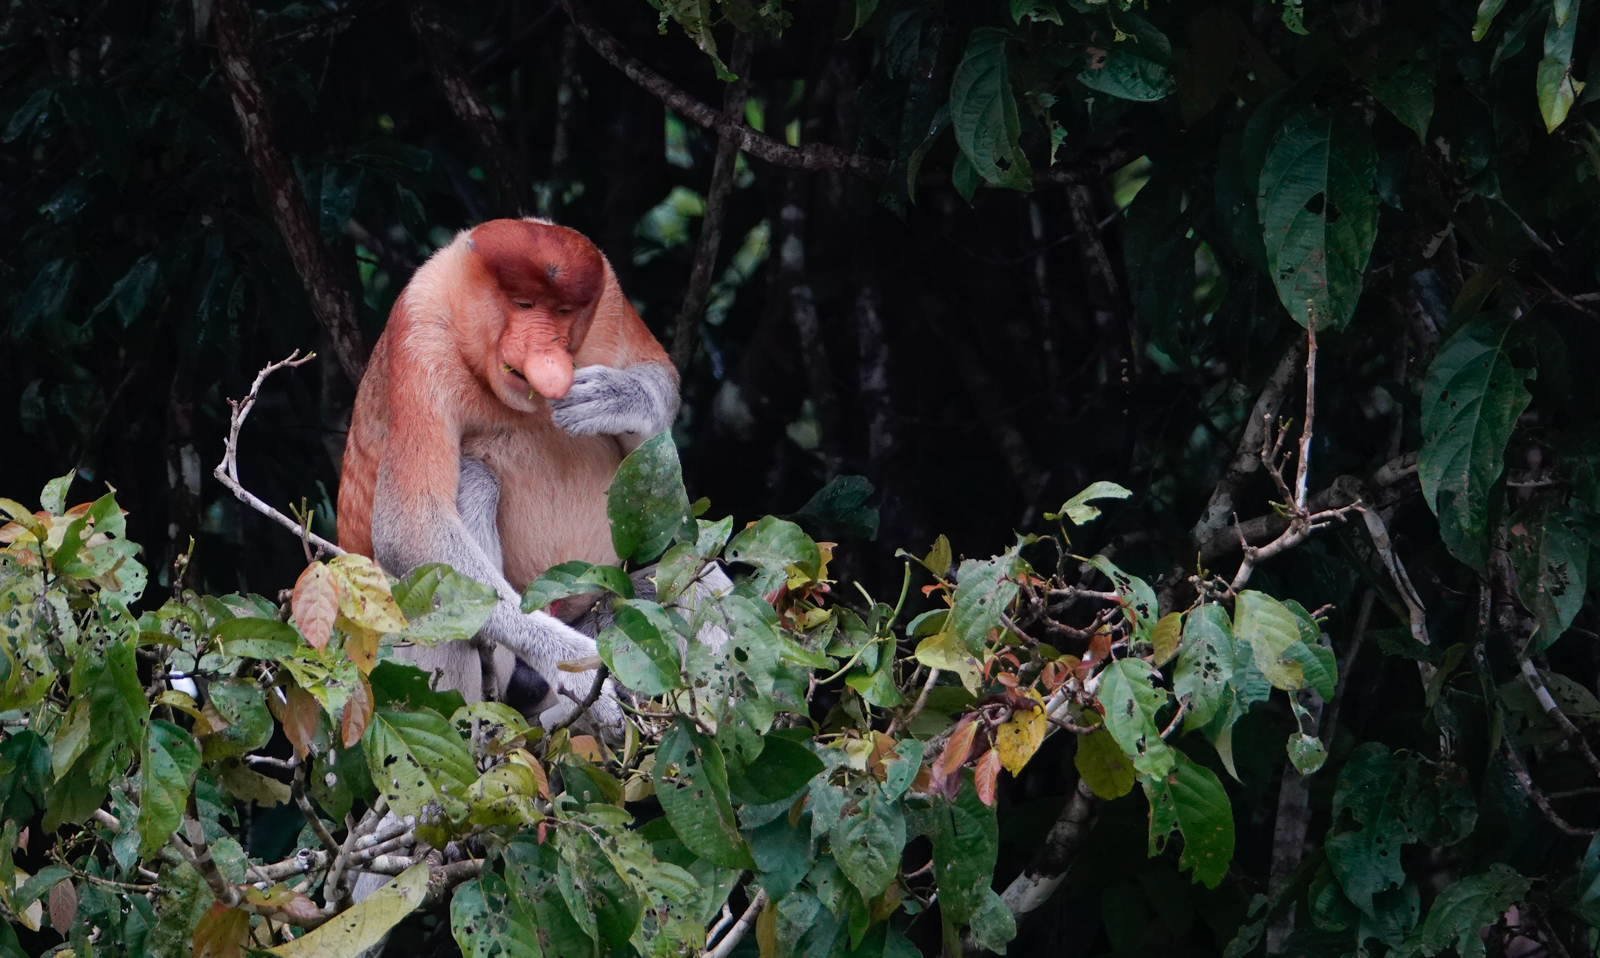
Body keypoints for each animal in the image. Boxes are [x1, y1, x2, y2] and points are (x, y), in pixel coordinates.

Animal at [337, 217, 681, 729]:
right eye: (522, 304)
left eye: (562, 311)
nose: (548, 354)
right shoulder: (420, 335)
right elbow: (410, 527)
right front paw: (579, 668)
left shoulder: (612, 304)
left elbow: (658, 419)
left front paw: (615, 396)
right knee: (474, 485)